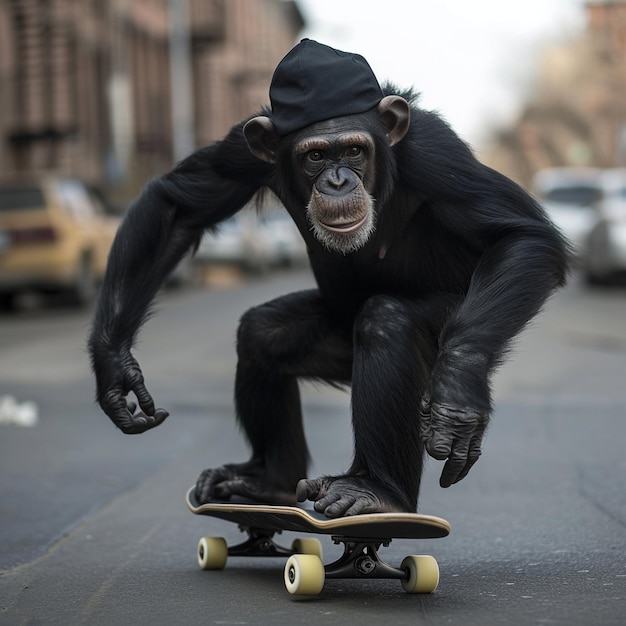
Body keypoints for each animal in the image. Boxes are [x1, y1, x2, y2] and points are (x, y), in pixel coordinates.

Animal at [89, 37, 572, 516]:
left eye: (354, 150)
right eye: (316, 154)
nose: (337, 181)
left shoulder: (435, 152)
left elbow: (520, 235)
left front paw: (457, 396)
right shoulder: (241, 150)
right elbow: (177, 208)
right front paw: (115, 369)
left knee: (386, 322)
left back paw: (376, 491)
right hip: (337, 345)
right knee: (260, 334)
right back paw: (269, 481)